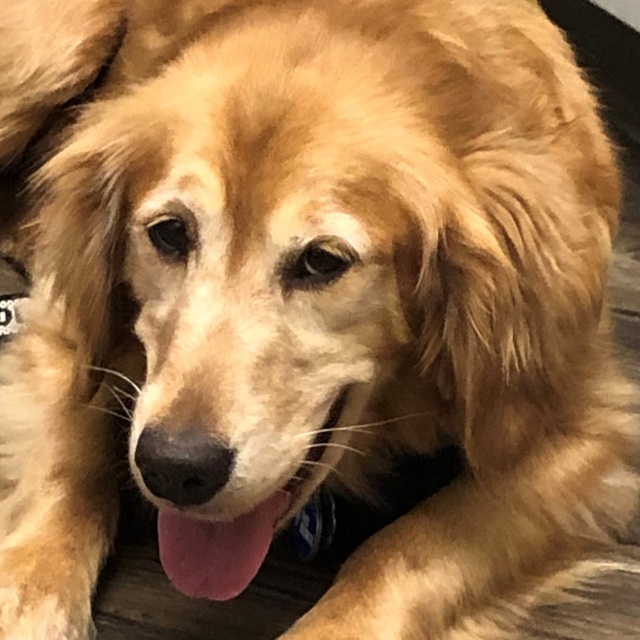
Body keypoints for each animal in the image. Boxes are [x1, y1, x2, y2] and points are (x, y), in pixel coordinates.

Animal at [0, 0, 639, 638]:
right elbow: (72, 447)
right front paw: (30, 593)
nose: (176, 468)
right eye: (170, 233)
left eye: (322, 261)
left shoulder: (577, 432)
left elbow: (402, 550)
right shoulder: (65, 320)